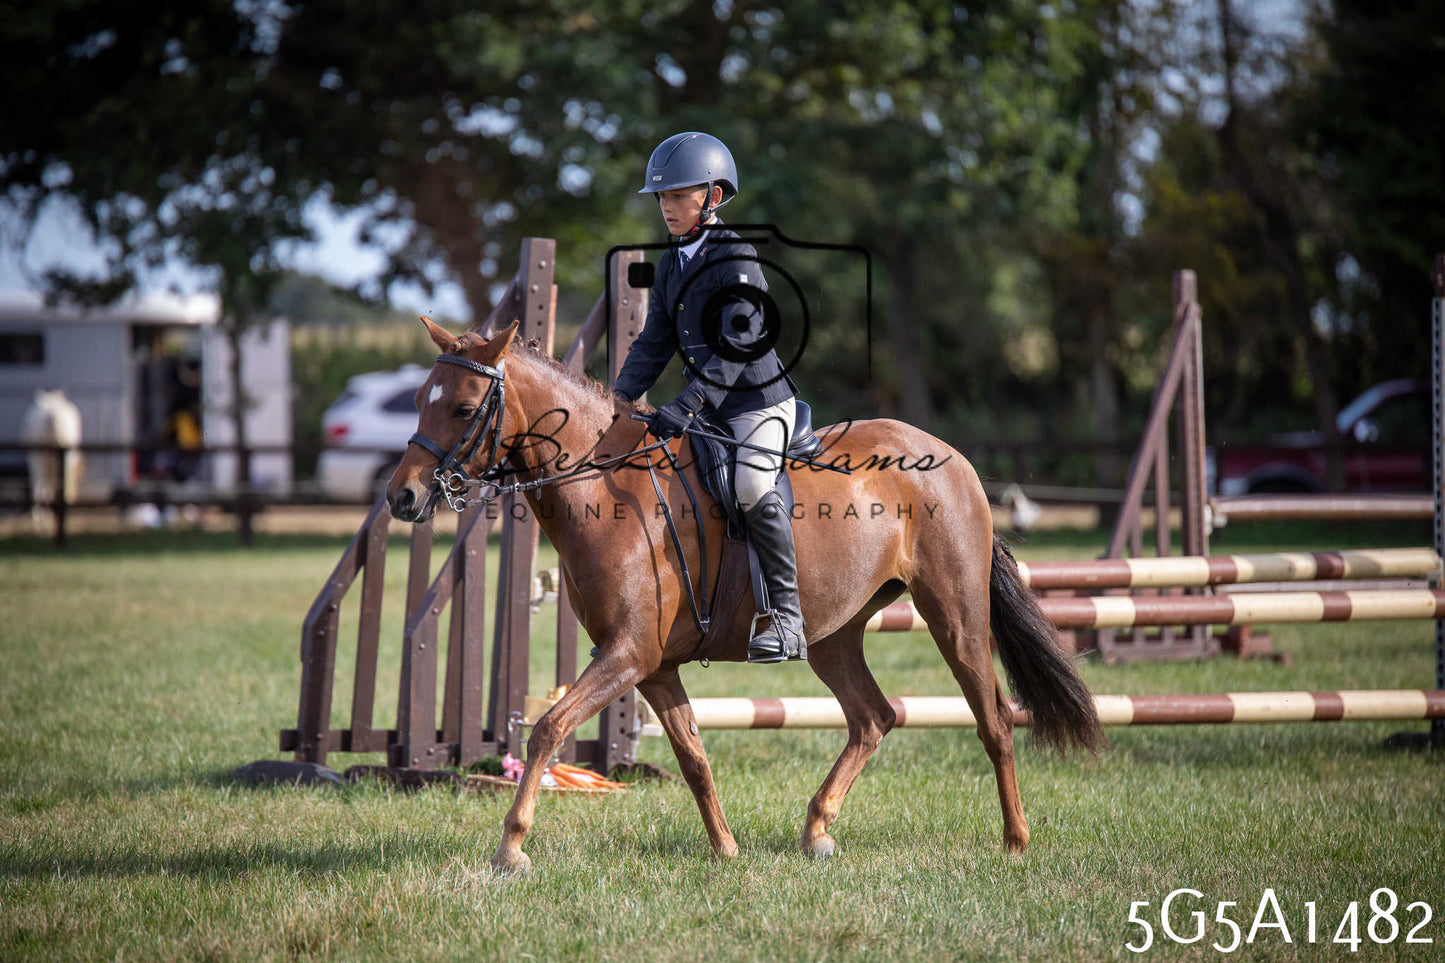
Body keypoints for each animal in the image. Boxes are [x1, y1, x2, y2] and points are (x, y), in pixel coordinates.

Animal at [386, 317, 1103, 874]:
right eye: (419, 399)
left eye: (461, 408)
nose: (402, 496)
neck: (608, 489)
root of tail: (951, 458)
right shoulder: (654, 666)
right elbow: (693, 756)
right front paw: (726, 849)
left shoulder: (626, 654)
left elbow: (548, 728)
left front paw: (511, 848)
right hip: (833, 635)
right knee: (873, 717)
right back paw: (817, 830)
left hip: (953, 614)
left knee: (993, 720)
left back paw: (1015, 841)